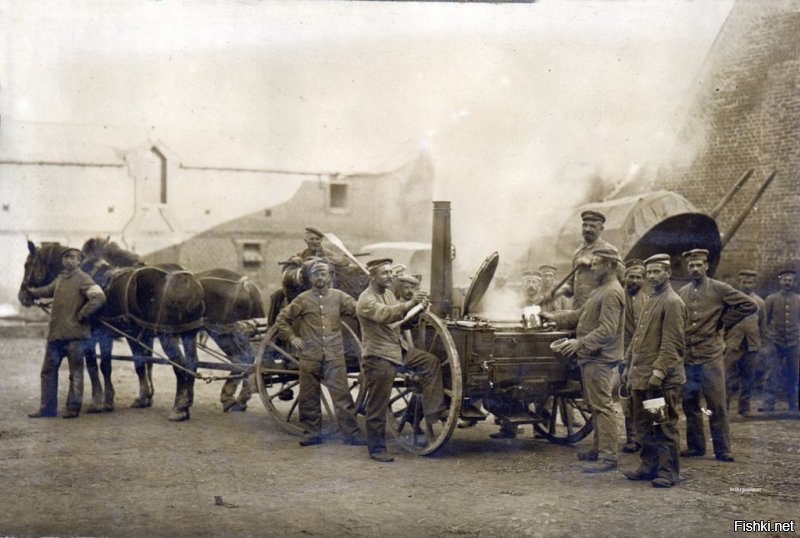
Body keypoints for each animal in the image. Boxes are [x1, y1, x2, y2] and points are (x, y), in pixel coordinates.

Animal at [19, 241, 206, 420]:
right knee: (192, 363)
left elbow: (96, 366)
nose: (22, 295)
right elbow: (131, 364)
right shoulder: (124, 335)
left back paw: (179, 409)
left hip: (167, 336)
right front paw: (130, 399)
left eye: (27, 264)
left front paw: (98, 402)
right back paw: (187, 402)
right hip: (189, 333)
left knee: (180, 366)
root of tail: (186, 278)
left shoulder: (96, 337)